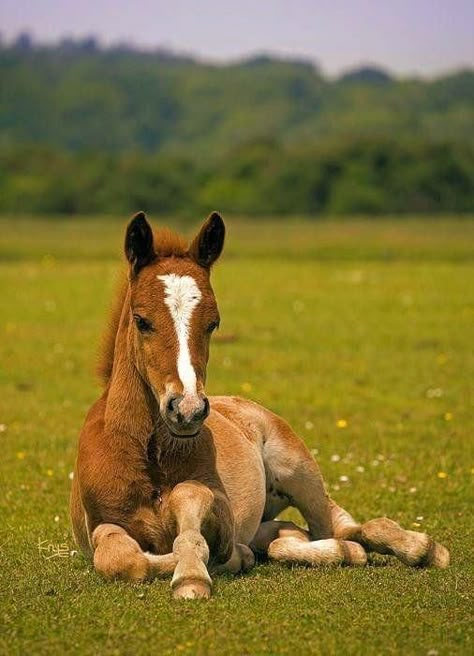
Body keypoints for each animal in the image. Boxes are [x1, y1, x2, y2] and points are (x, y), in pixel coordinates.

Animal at [69, 211, 448, 600]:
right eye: (142, 321)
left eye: (213, 323)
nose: (187, 409)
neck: (148, 457)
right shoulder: (99, 524)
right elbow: (121, 558)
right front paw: (223, 561)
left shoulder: (223, 513)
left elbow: (191, 510)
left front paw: (198, 573)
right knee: (294, 536)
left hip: (298, 469)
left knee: (338, 526)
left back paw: (422, 548)